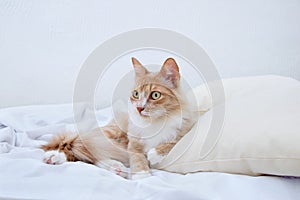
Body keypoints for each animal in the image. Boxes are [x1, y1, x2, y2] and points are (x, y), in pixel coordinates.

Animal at [42, 57, 197, 180]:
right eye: (136, 94)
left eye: (155, 95)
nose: (139, 108)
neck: (154, 123)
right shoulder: (133, 142)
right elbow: (137, 157)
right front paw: (141, 174)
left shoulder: (185, 129)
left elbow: (171, 142)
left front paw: (154, 154)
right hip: (109, 134)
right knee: (82, 147)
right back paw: (53, 157)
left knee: (93, 155)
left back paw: (116, 168)